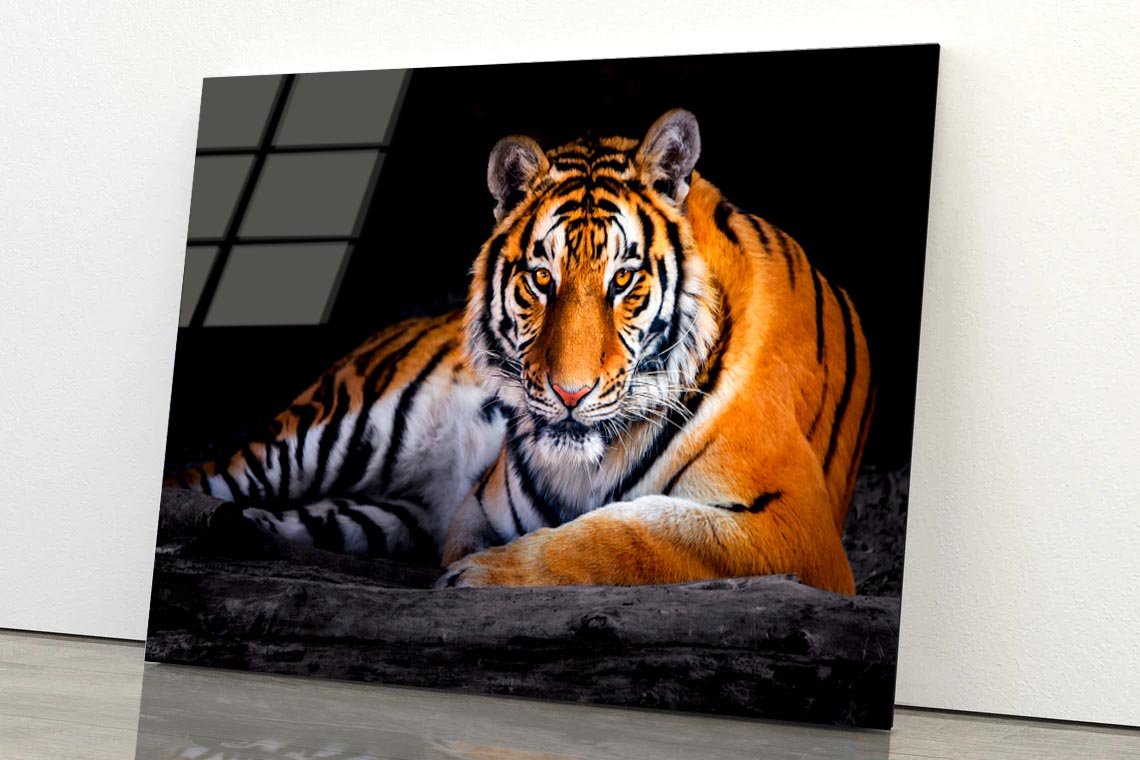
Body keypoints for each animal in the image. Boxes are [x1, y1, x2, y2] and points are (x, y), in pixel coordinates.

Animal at [164, 108, 874, 595]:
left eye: (624, 280)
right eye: (541, 279)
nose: (569, 393)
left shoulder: (792, 525)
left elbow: (631, 534)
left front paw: (479, 575)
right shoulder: (478, 505)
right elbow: (610, 531)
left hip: (371, 515)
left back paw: (234, 531)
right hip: (332, 429)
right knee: (197, 477)